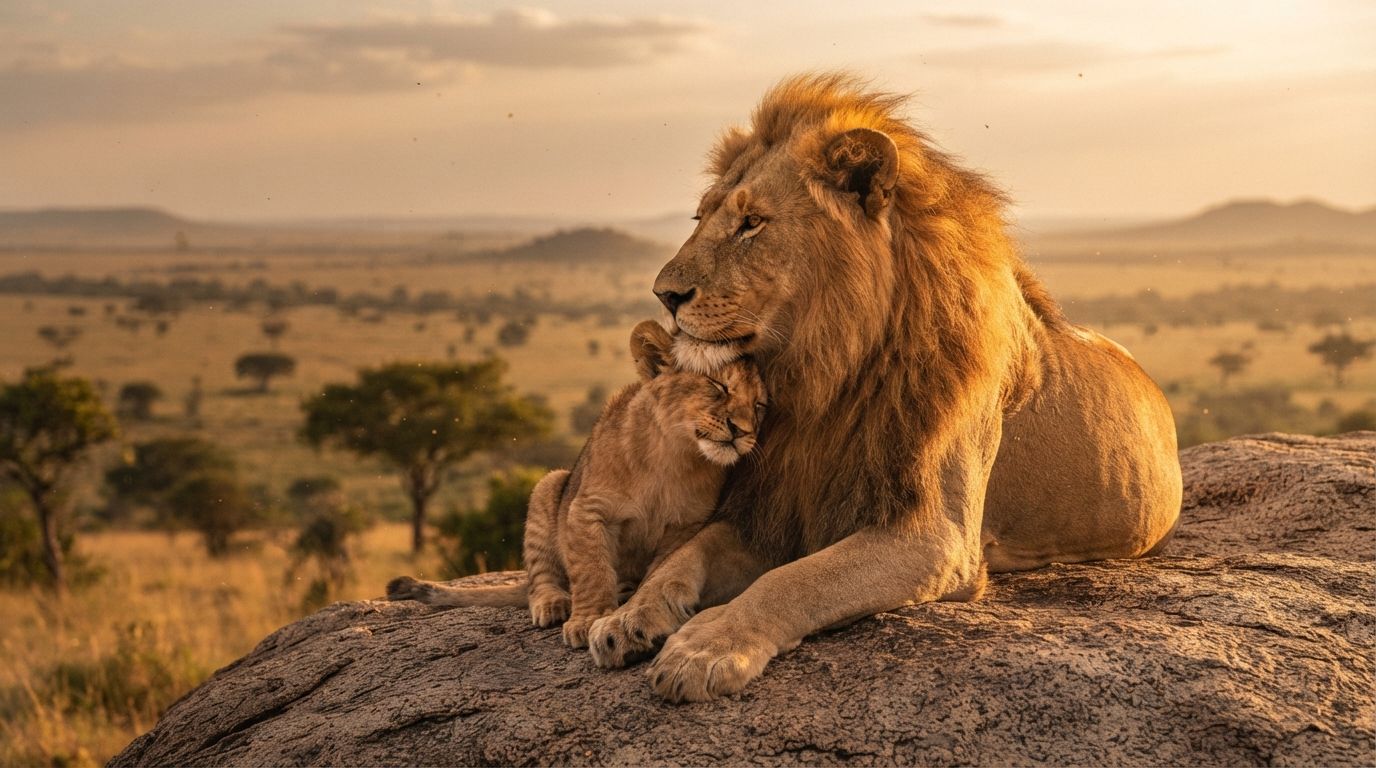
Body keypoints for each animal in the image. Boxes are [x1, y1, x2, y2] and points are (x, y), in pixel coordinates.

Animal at [387, 320, 767, 648]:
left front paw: (629, 610)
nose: (742, 431)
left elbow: (659, 573)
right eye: (718, 386)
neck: (676, 456)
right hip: (550, 486)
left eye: (759, 405)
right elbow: (591, 570)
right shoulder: (587, 509)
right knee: (540, 577)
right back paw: (554, 603)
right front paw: (587, 621)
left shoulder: (684, 527)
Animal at [585, 73, 1182, 701]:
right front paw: (628, 617)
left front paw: (706, 645)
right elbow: (683, 557)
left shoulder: (934, 537)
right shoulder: (774, 508)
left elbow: (794, 581)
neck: (828, 376)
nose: (664, 295)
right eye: (701, 218)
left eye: (752, 223)